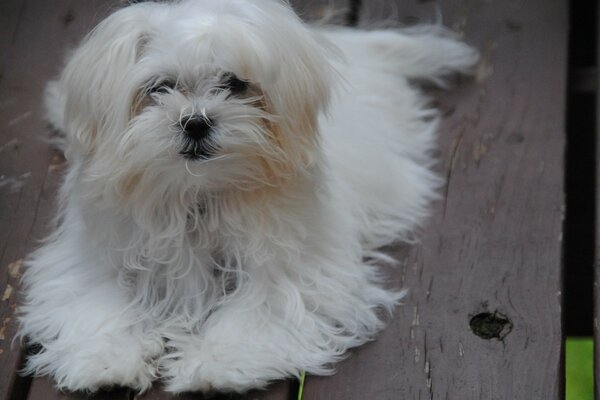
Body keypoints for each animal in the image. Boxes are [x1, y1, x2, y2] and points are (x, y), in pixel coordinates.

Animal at [17, 0, 478, 394]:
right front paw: (106, 361)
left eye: (234, 84)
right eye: (160, 87)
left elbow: (259, 310)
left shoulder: (289, 270)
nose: (196, 122)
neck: (198, 192)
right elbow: (100, 302)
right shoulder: (97, 258)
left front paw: (214, 365)